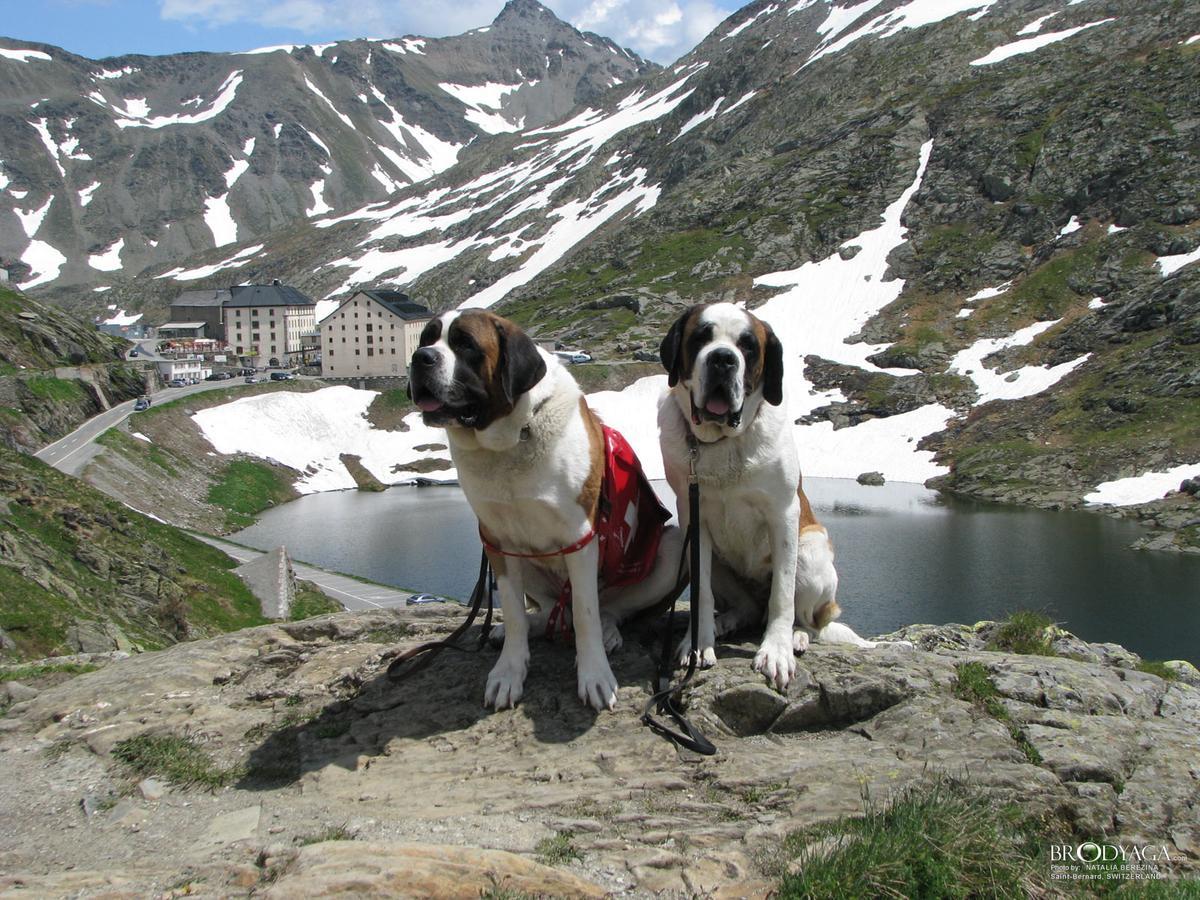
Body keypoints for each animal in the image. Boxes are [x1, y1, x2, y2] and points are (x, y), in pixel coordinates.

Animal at [408, 309, 681, 710]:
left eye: (465, 345)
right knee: (551, 609)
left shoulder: (579, 537)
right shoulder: (497, 542)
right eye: (426, 339)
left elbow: (585, 613)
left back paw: (609, 632)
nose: (420, 358)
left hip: (670, 549)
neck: (512, 438)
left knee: (606, 608)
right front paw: (509, 671)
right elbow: (514, 611)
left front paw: (595, 675)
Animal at [657, 303, 902, 691]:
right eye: (700, 337)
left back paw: (798, 636)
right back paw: (727, 621)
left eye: (748, 346)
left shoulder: (783, 515)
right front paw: (698, 644)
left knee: (808, 620)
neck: (721, 443)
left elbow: (782, 596)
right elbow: (701, 593)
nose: (723, 359)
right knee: (747, 607)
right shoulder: (692, 517)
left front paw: (776, 650)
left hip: (812, 552)